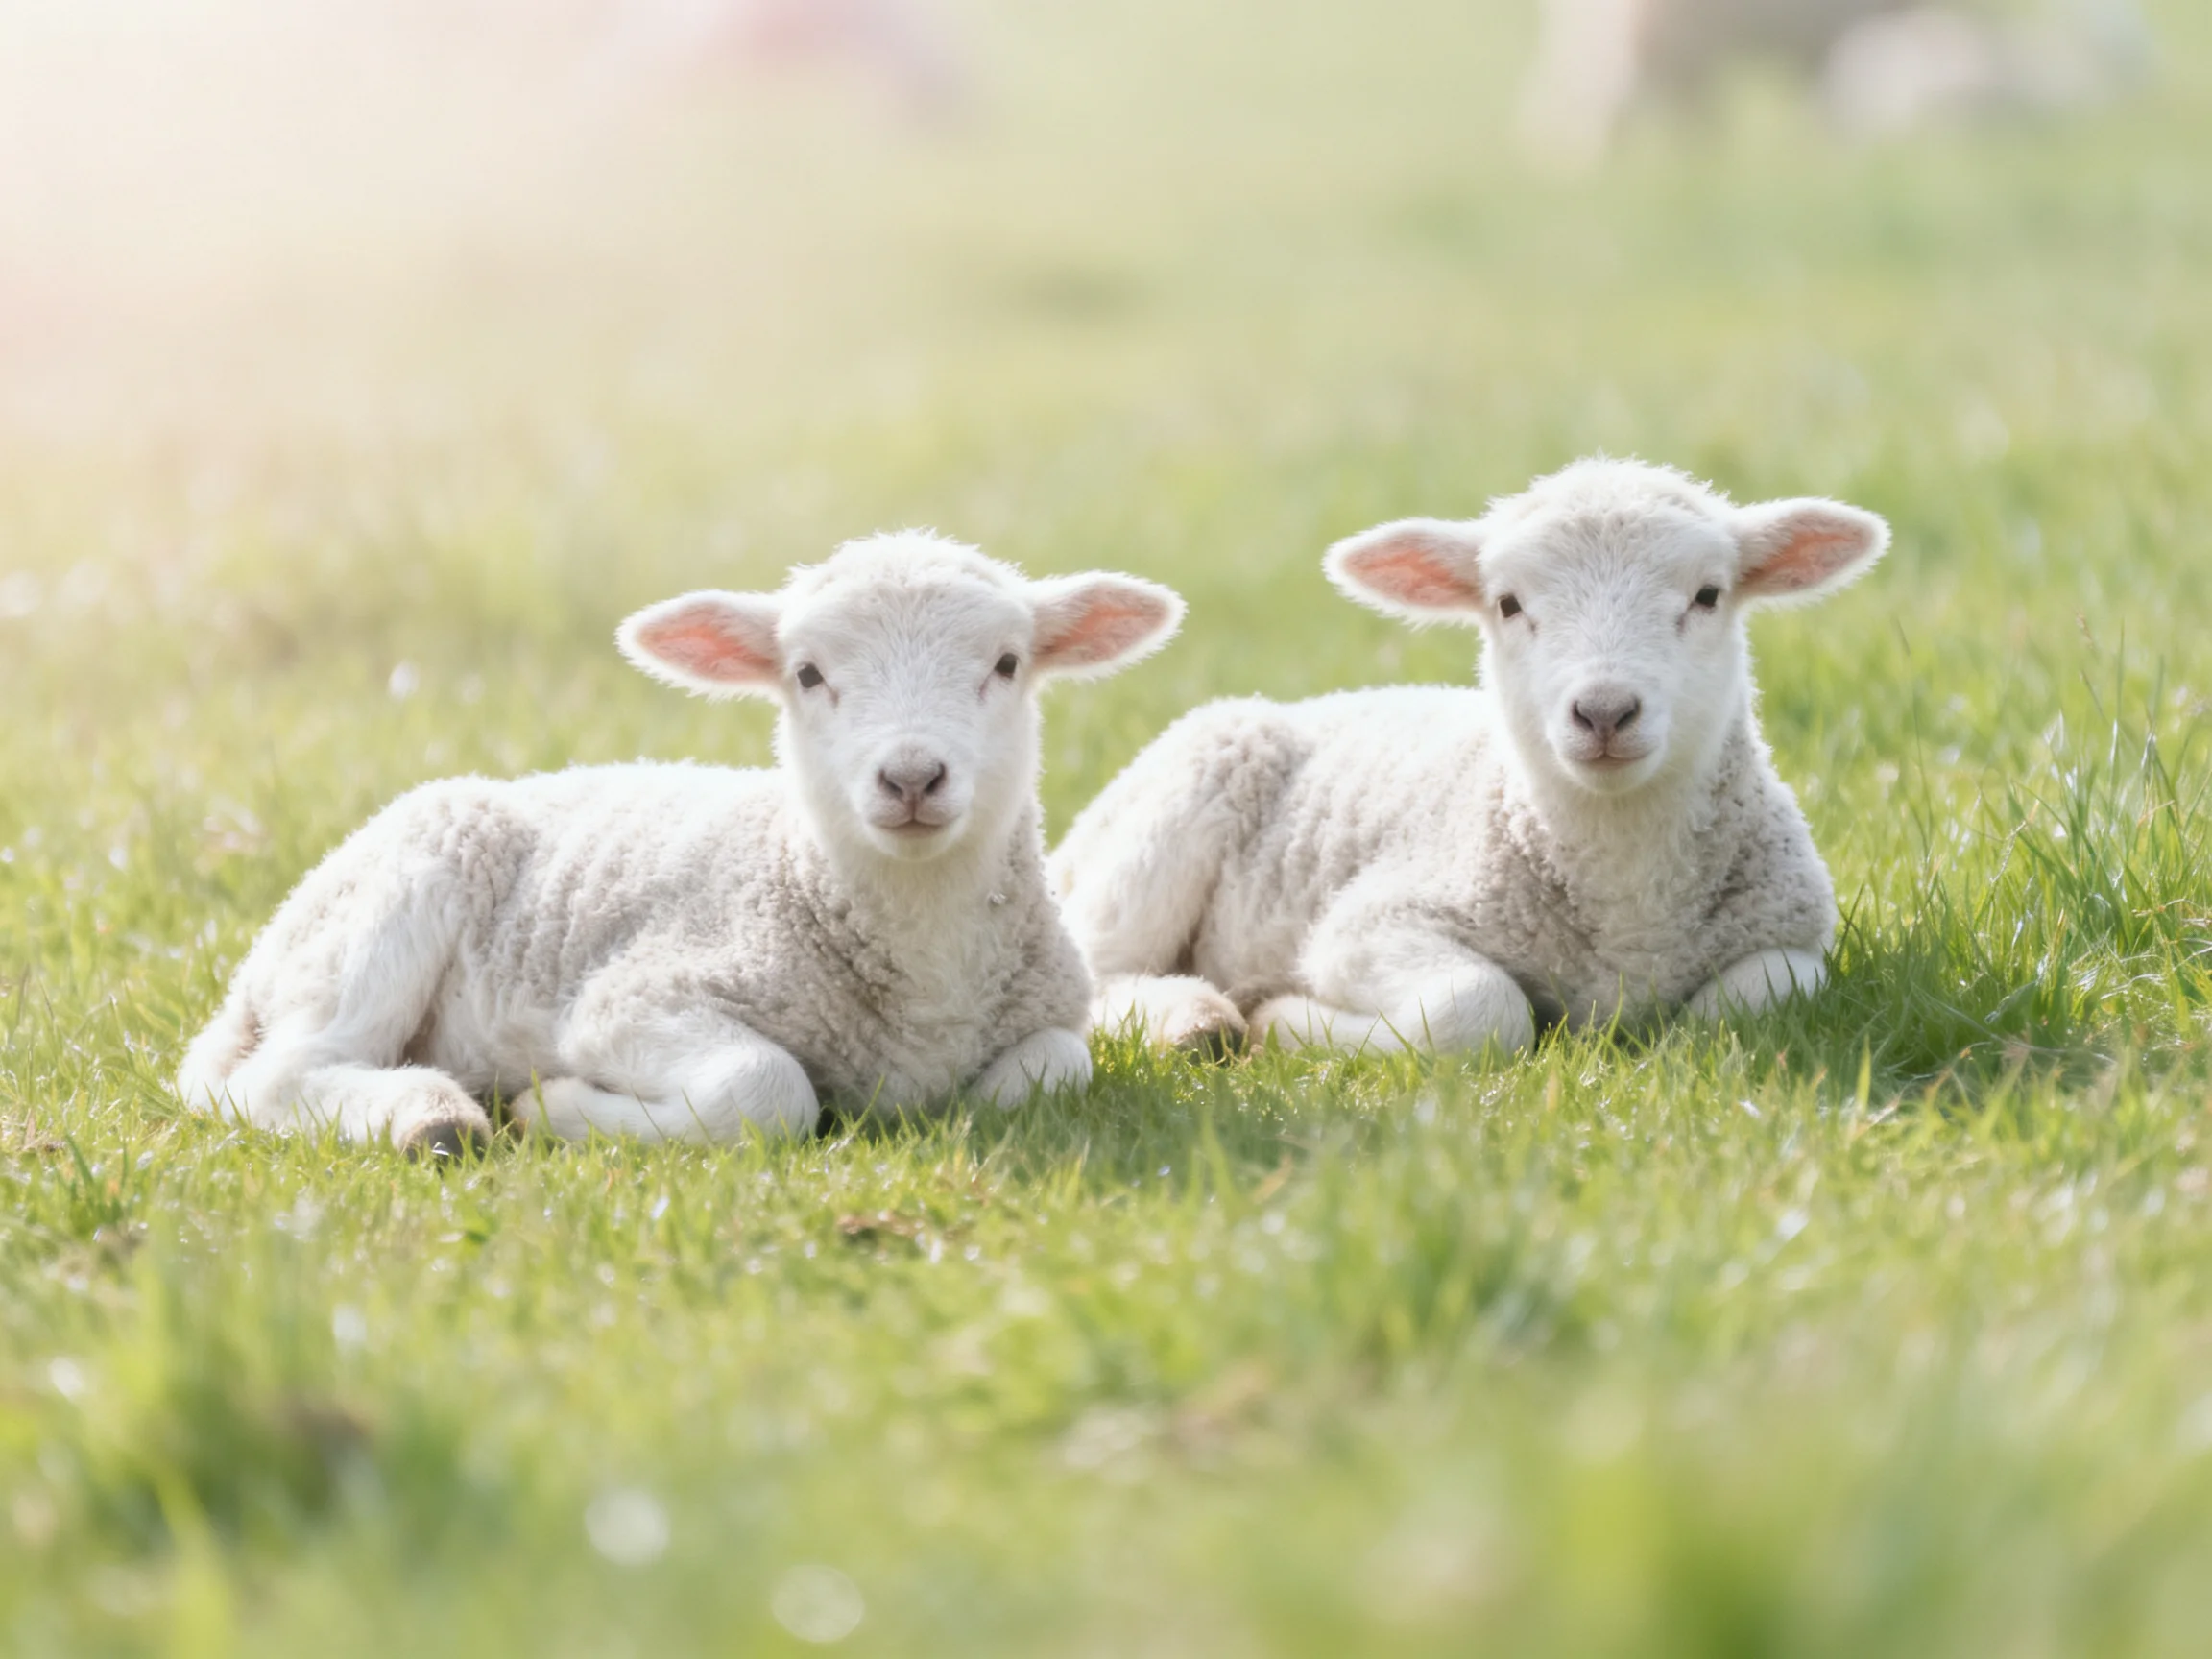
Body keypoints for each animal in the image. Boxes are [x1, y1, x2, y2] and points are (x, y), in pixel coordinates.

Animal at [176, 531, 1183, 1153]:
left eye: (1007, 664)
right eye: (807, 674)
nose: (909, 778)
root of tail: (254, 971)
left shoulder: (1051, 1015)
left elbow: (1051, 1072)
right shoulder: (632, 1000)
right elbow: (769, 1089)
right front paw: (554, 1107)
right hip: (392, 903)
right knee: (277, 1078)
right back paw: (431, 1118)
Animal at [1050, 458, 1886, 1061]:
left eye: (1708, 595)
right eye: (1510, 604)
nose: (1604, 711)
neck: (1629, 905)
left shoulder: (1793, 933)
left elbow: (1755, 1002)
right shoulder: (1369, 925)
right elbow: (1481, 1012)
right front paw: (1286, 1020)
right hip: (1173, 812)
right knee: (1100, 970)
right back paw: (1194, 1019)